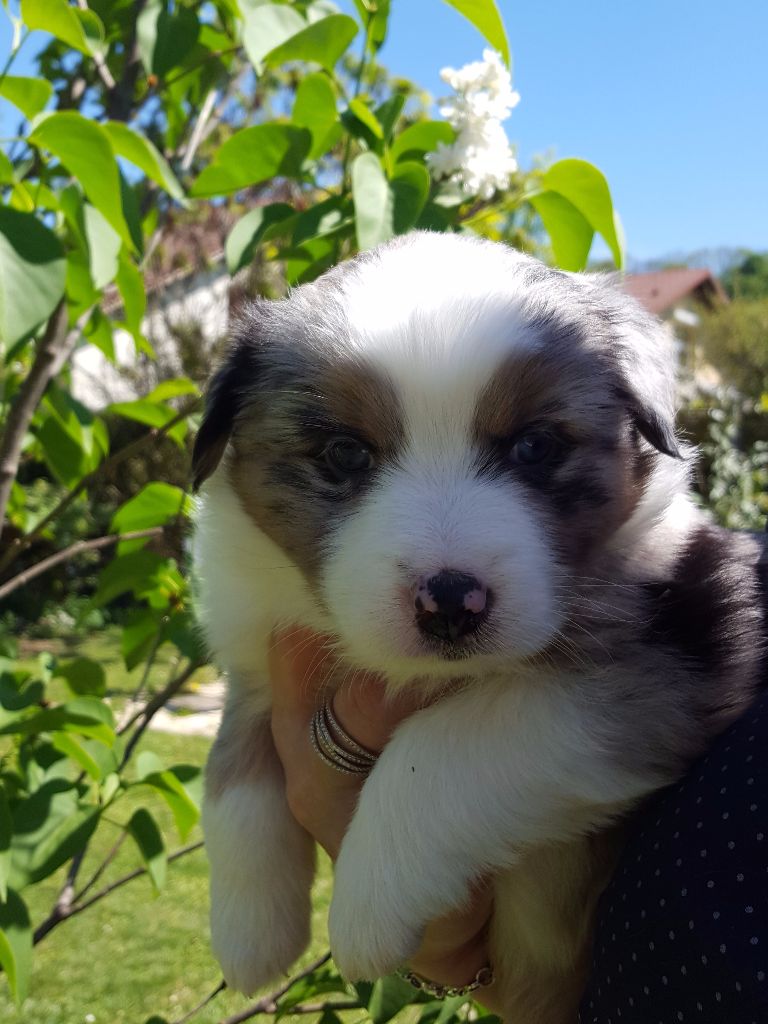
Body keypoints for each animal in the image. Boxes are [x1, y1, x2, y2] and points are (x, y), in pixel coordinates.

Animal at [192, 232, 767, 1022]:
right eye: (344, 452)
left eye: (535, 446)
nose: (450, 603)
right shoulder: (259, 649)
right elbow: (232, 776)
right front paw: (249, 931)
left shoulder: (675, 655)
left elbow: (442, 746)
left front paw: (366, 907)